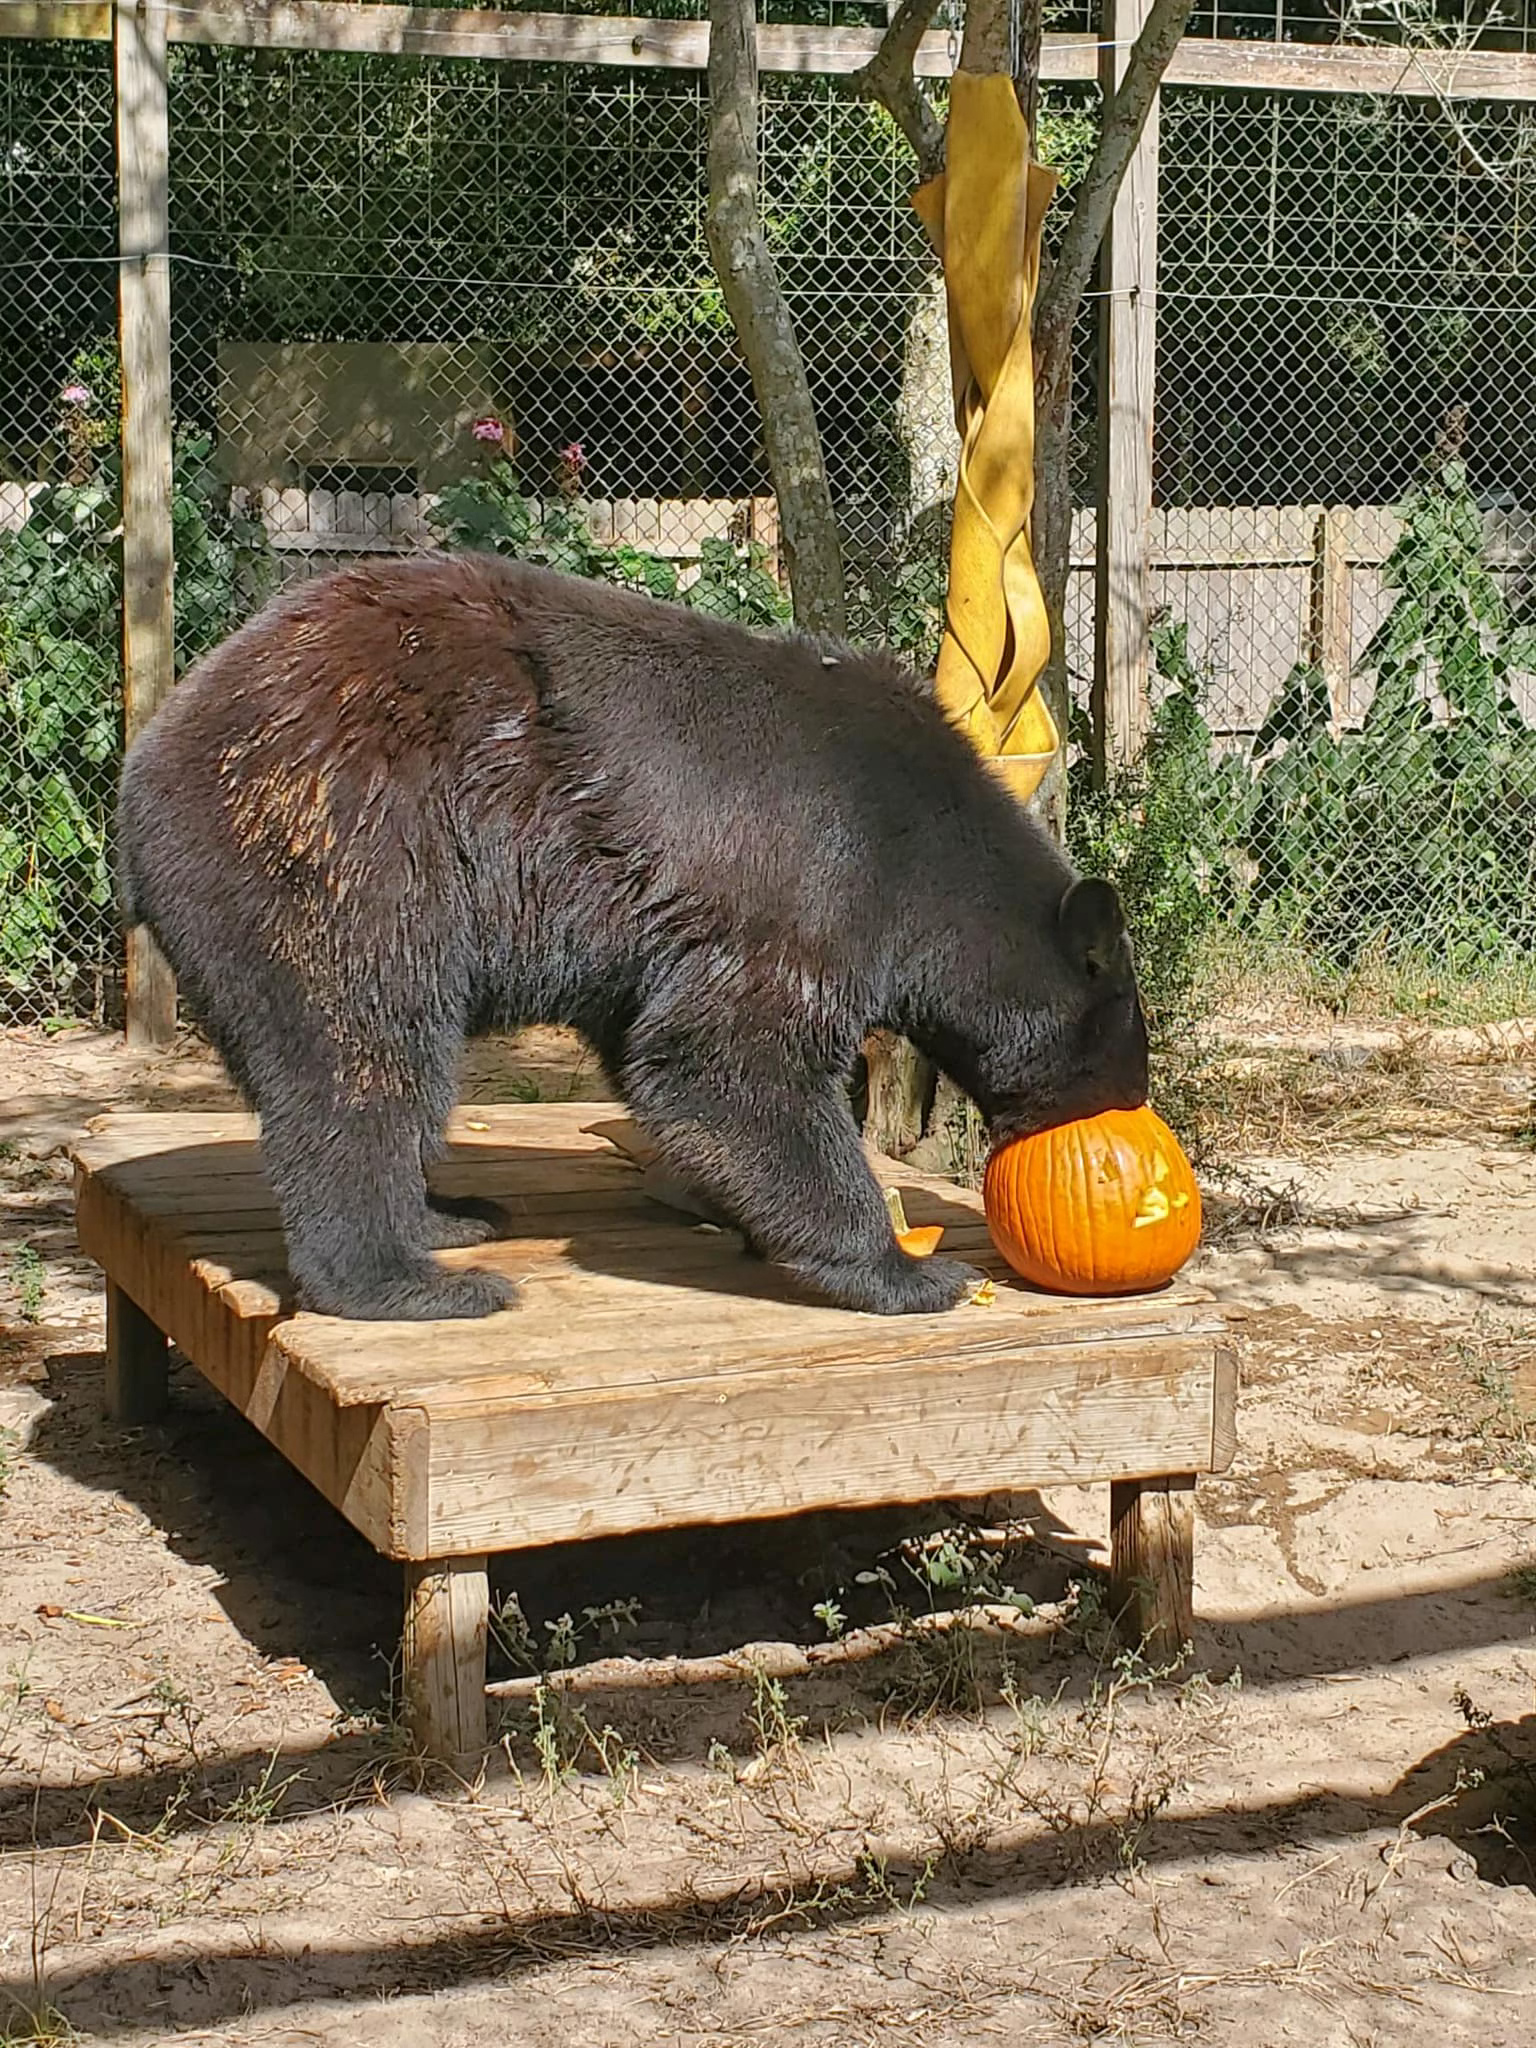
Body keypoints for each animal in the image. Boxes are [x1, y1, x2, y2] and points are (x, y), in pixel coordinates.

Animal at [117, 552, 1149, 1323]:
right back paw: (412, 1279)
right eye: (1124, 1052)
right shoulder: (818, 876)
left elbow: (660, 1054)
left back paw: (450, 1215)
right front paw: (909, 1267)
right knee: (363, 1044)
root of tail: (149, 761)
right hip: (337, 843)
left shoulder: (650, 941)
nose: (1132, 1103)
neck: (928, 858)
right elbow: (727, 1058)